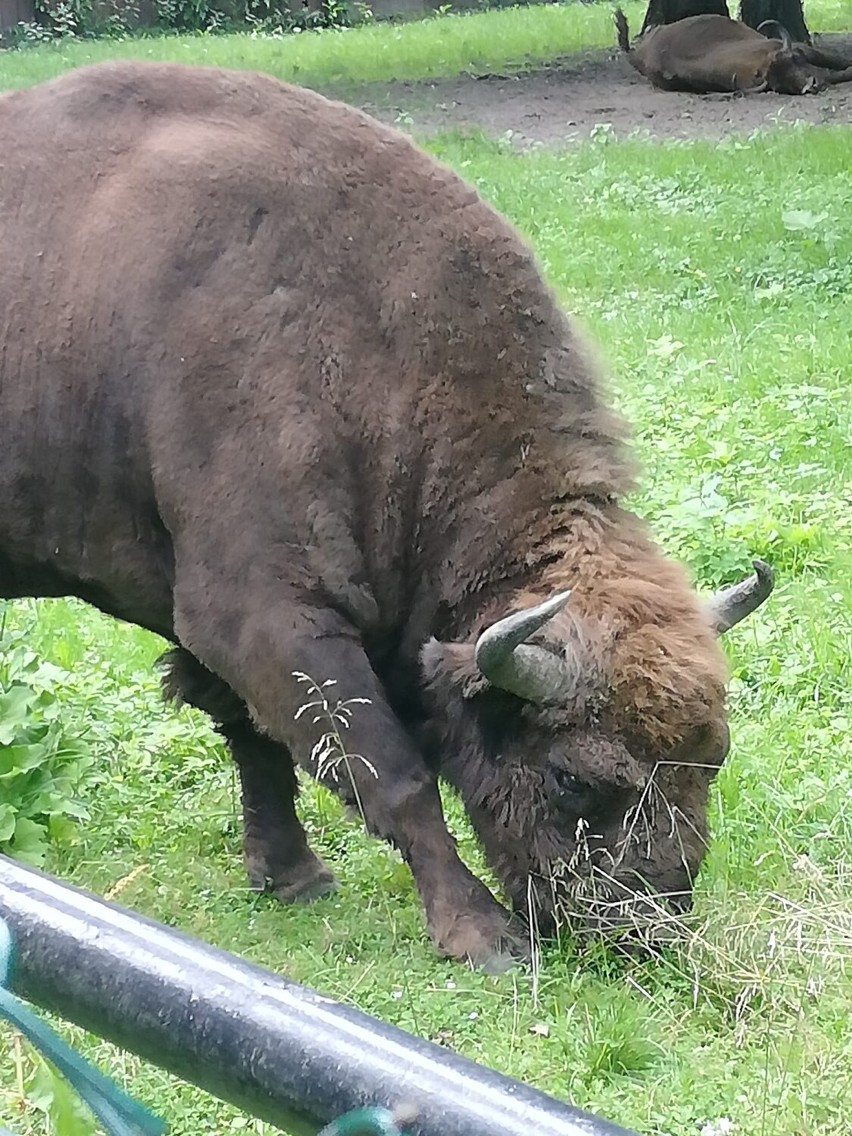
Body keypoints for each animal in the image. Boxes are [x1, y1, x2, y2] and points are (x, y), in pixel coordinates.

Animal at [0, 62, 777, 972]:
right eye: (573, 778)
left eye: (713, 757)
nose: (646, 931)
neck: (368, 344)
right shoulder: (265, 617)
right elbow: (390, 774)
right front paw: (484, 936)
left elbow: (257, 741)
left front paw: (292, 879)